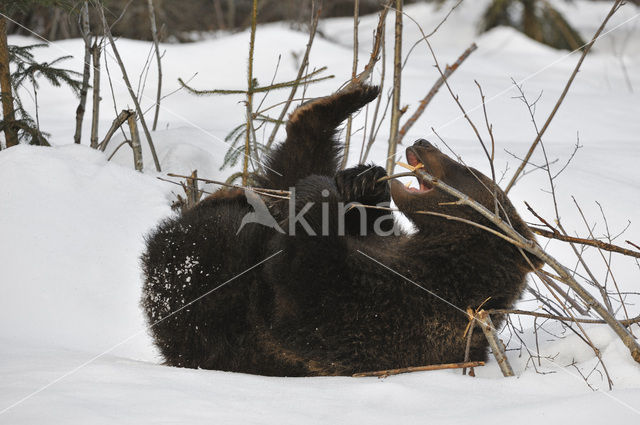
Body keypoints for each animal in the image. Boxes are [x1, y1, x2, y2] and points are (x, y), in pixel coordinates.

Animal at [140, 83, 540, 374]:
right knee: (282, 176)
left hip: (206, 286)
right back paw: (346, 99)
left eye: (470, 172)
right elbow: (364, 226)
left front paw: (322, 191)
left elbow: (303, 283)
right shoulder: (388, 251)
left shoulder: (385, 312)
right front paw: (362, 180)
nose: (424, 142)